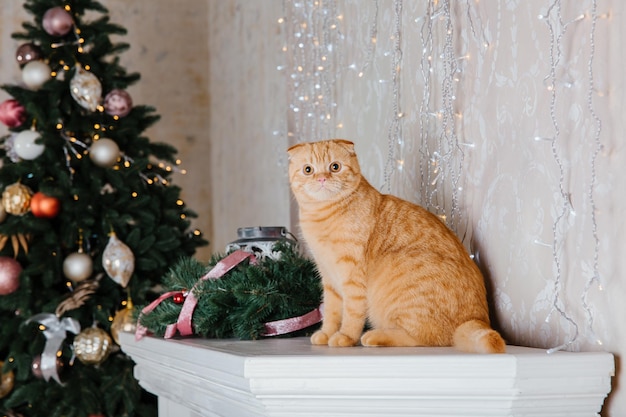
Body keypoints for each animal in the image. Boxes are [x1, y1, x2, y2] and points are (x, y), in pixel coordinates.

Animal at [286, 139, 504, 352]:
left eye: (335, 167)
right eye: (308, 170)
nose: (322, 178)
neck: (321, 215)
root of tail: (478, 318)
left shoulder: (352, 278)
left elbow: (351, 313)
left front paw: (346, 337)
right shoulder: (329, 278)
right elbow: (331, 312)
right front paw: (326, 333)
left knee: (427, 338)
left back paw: (375, 336)